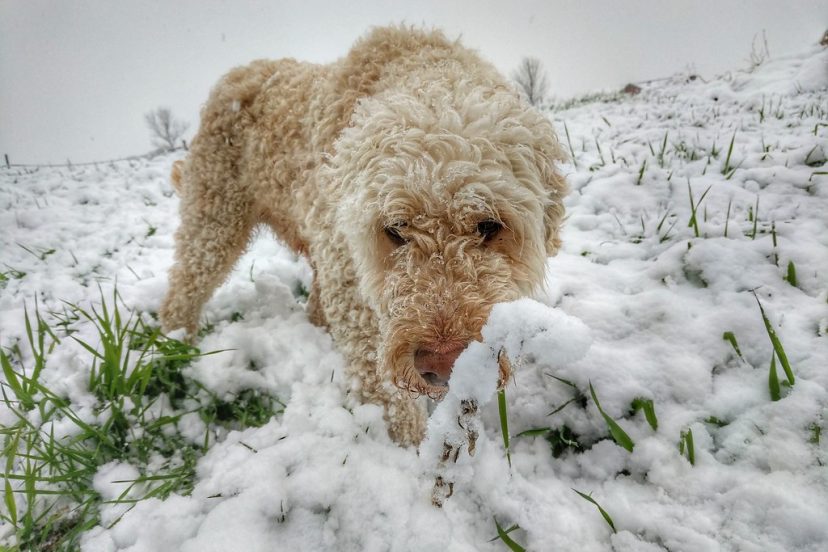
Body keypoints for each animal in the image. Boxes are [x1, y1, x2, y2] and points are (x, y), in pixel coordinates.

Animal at [158, 27, 568, 448]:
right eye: (395, 229)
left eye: (488, 225)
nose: (444, 363)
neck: (423, 69)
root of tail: (238, 72)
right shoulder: (352, 287)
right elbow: (384, 388)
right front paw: (409, 451)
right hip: (215, 214)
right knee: (187, 284)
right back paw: (175, 347)